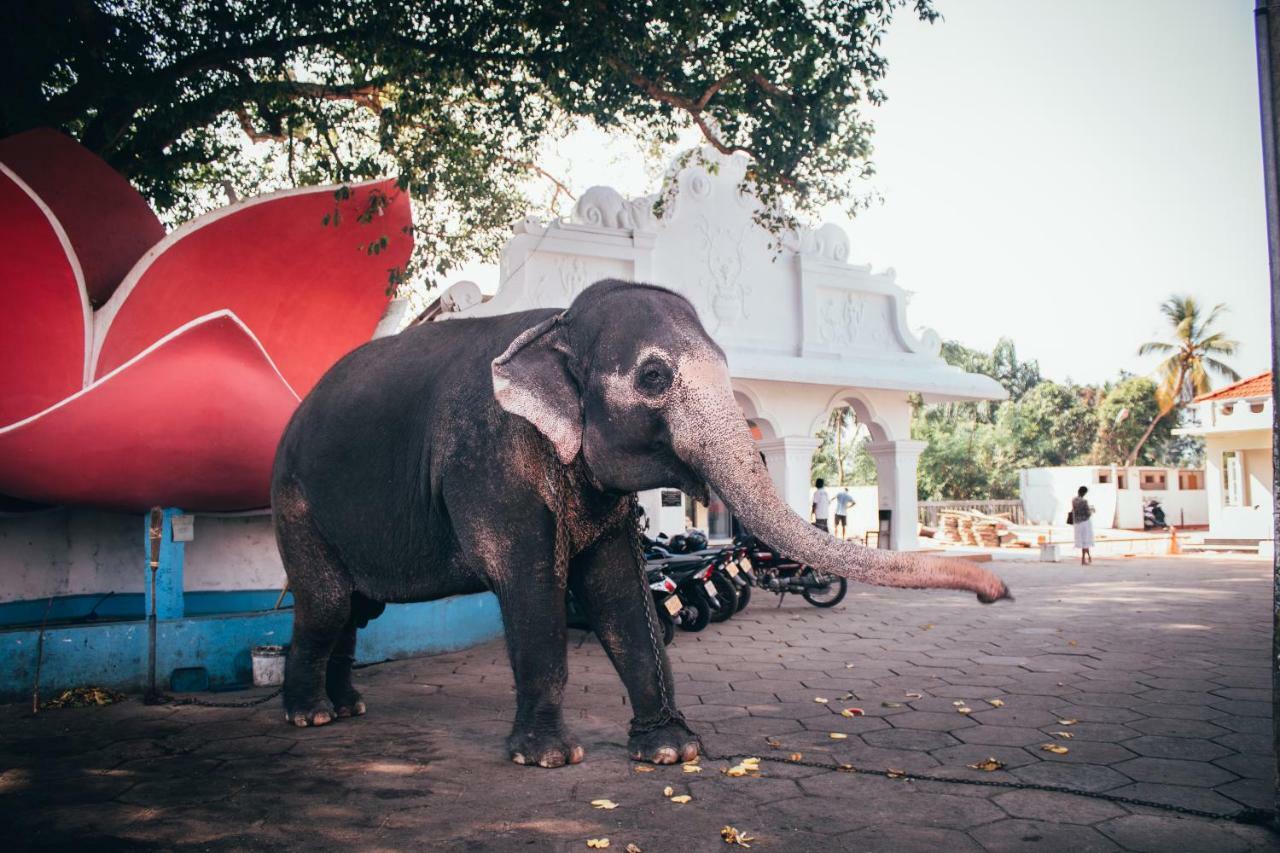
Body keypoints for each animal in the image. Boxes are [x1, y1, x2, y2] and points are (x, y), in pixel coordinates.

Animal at [272, 277, 1008, 763]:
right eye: (654, 376)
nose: (998, 591)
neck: (556, 322)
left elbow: (620, 590)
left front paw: (672, 750)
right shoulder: (491, 460)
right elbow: (532, 585)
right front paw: (548, 758)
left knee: (355, 610)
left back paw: (347, 706)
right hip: (294, 500)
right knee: (328, 603)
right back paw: (310, 718)